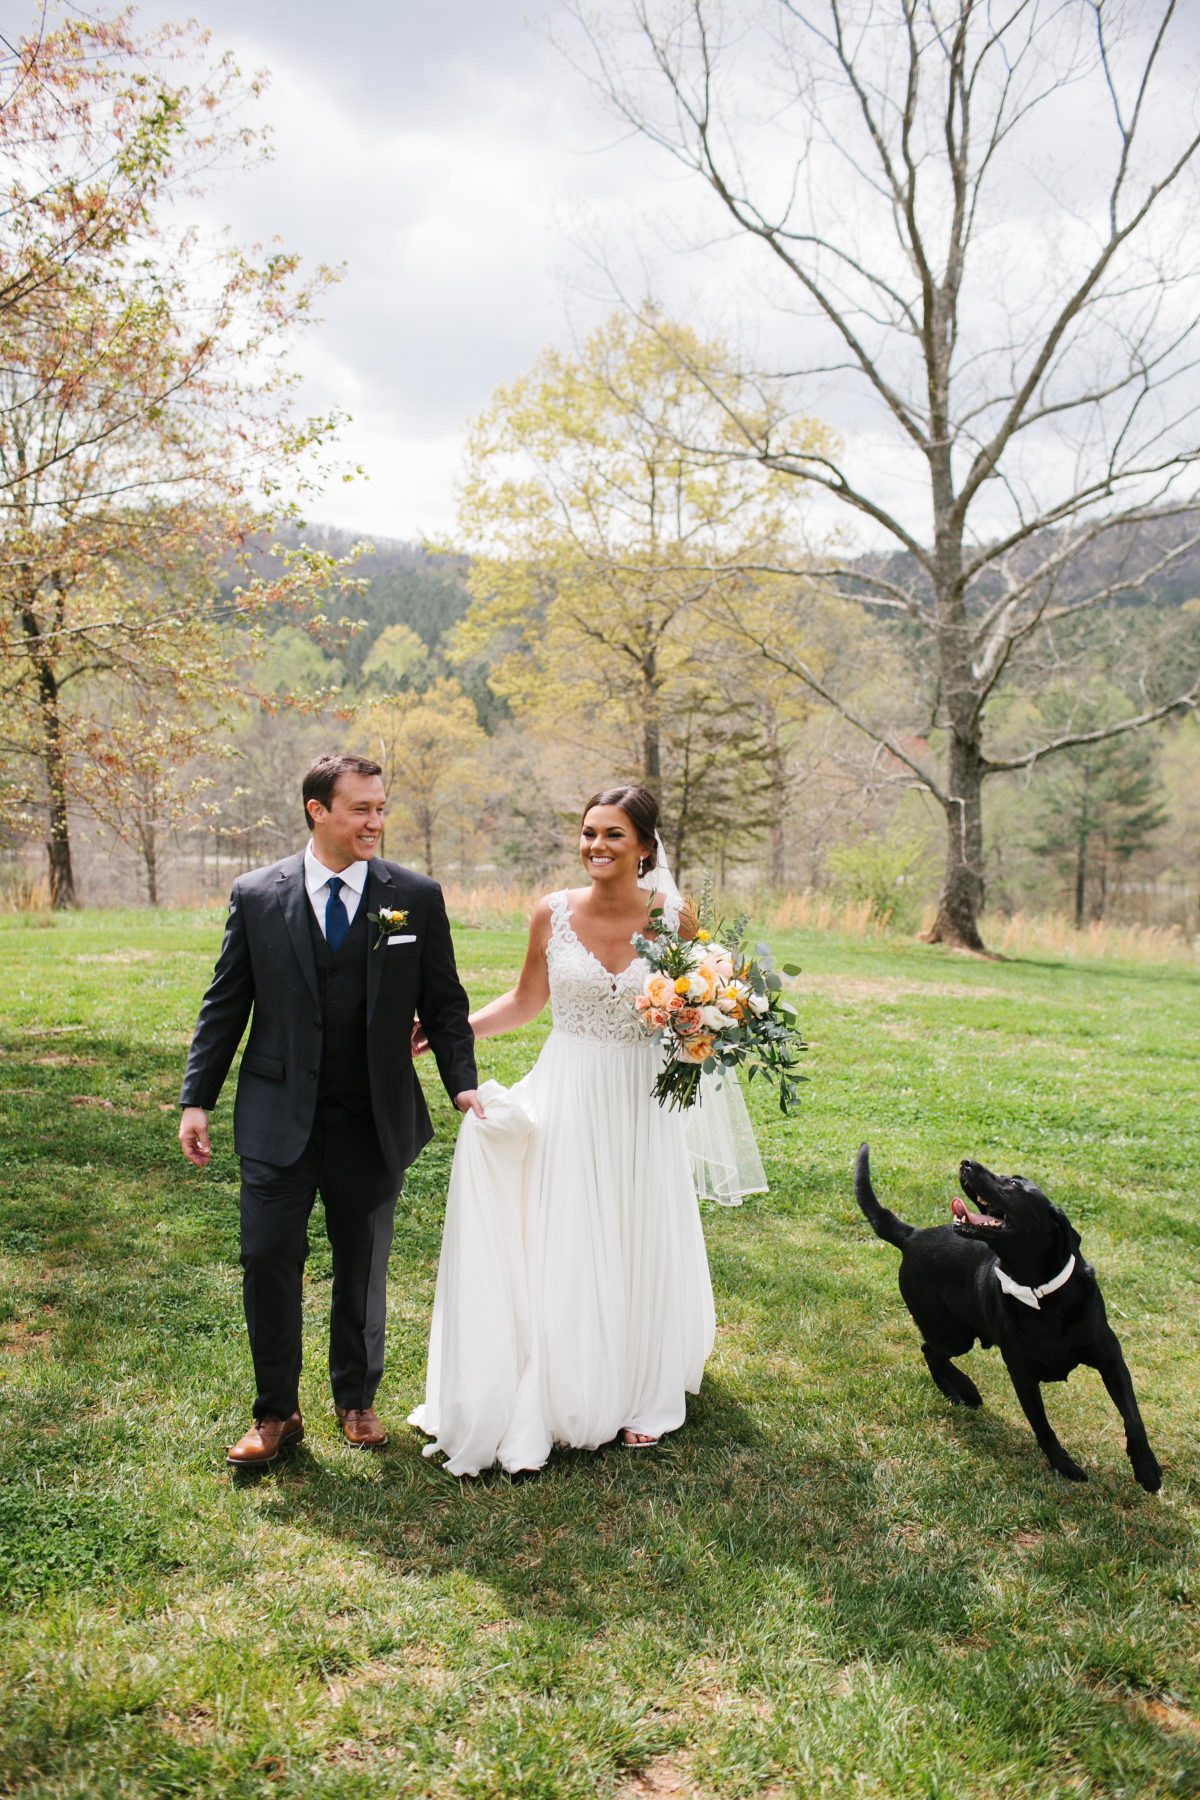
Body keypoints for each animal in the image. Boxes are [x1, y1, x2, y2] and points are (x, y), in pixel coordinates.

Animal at [852, 1152, 1165, 1490]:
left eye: (1014, 1184)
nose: (967, 1162)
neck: (1040, 1294)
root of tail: (913, 1235)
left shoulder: (1111, 1360)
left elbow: (1133, 1418)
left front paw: (1147, 1470)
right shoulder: (1022, 1375)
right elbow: (1043, 1428)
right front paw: (1065, 1465)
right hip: (953, 1334)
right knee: (930, 1350)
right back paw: (963, 1390)